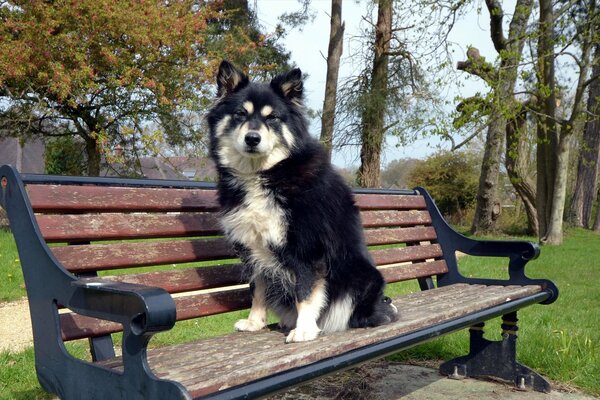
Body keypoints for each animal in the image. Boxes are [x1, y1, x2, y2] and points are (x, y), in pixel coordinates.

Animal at [206, 60, 398, 344]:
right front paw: (255, 322)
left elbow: (305, 293)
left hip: (360, 277)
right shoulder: (254, 248)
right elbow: (258, 288)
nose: (252, 138)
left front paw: (305, 329)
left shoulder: (308, 249)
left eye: (272, 117)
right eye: (240, 114)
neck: (269, 173)